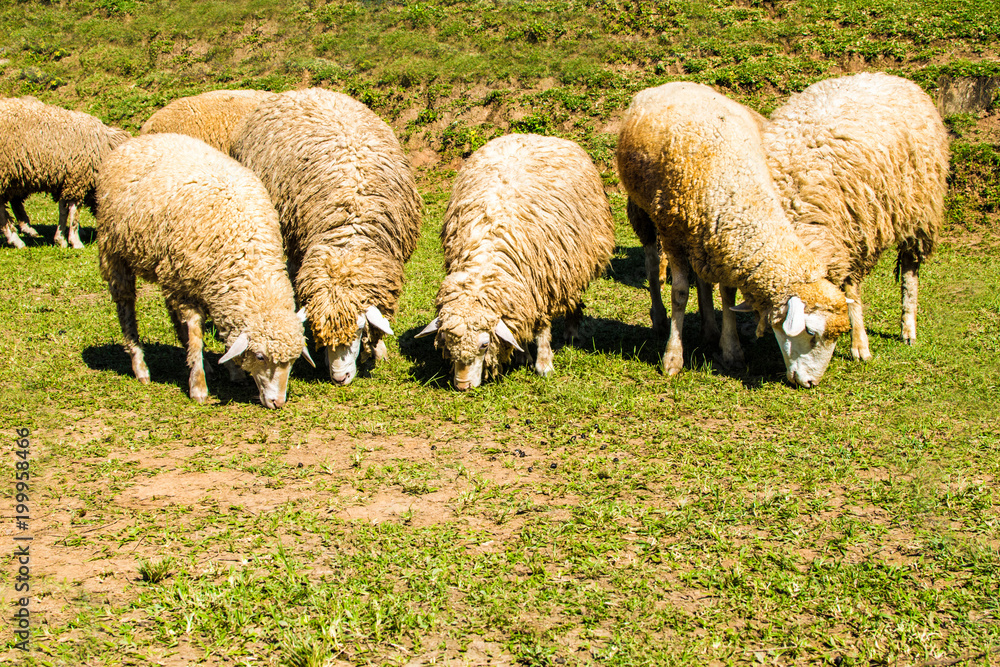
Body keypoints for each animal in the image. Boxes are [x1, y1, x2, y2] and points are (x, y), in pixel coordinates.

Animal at [0, 96, 130, 249]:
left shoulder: (66, 180)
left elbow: (63, 209)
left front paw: (60, 238)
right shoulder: (78, 178)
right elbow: (74, 211)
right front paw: (75, 240)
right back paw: (17, 239)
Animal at [96, 133, 313, 408]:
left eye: (293, 361)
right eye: (260, 357)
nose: (278, 403)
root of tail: (142, 139)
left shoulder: (214, 286)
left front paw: (232, 370)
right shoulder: (189, 286)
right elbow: (197, 332)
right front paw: (198, 386)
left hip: (170, 270)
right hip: (116, 252)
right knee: (126, 307)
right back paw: (140, 366)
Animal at [416, 133, 615, 391]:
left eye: (484, 345)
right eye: (446, 345)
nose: (462, 385)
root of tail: (532, 135)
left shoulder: (543, 286)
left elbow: (542, 330)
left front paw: (543, 364)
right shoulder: (522, 297)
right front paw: (522, 357)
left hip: (573, 262)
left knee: (573, 297)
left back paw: (572, 332)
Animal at [616, 81, 852, 388]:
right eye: (812, 333)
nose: (811, 383)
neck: (734, 185)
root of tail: (671, 84)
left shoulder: (724, 243)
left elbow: (727, 297)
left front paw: (731, 349)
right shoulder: (674, 234)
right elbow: (679, 294)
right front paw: (673, 358)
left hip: (701, 237)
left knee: (702, 279)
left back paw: (709, 329)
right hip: (645, 211)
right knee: (652, 263)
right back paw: (659, 317)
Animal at [762, 72, 950, 361]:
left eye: (810, 332)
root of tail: (886, 75)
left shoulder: (852, 236)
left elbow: (852, 293)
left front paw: (859, 345)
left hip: (919, 207)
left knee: (910, 269)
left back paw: (908, 328)